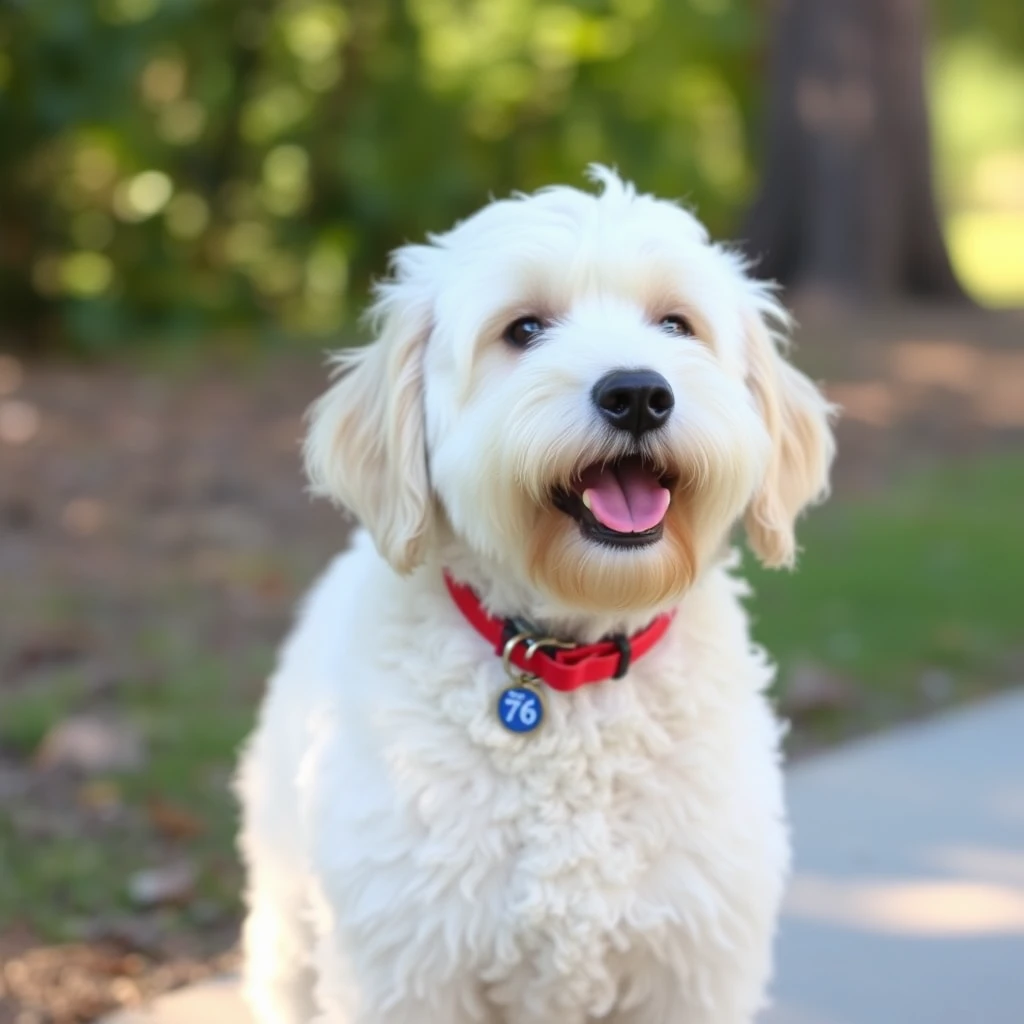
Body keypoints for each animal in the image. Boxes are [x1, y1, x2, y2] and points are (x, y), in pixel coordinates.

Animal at [235, 169, 835, 1024]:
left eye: (675, 325)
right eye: (523, 330)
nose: (638, 394)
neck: (572, 664)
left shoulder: (694, 964)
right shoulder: (407, 965)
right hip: (288, 919)